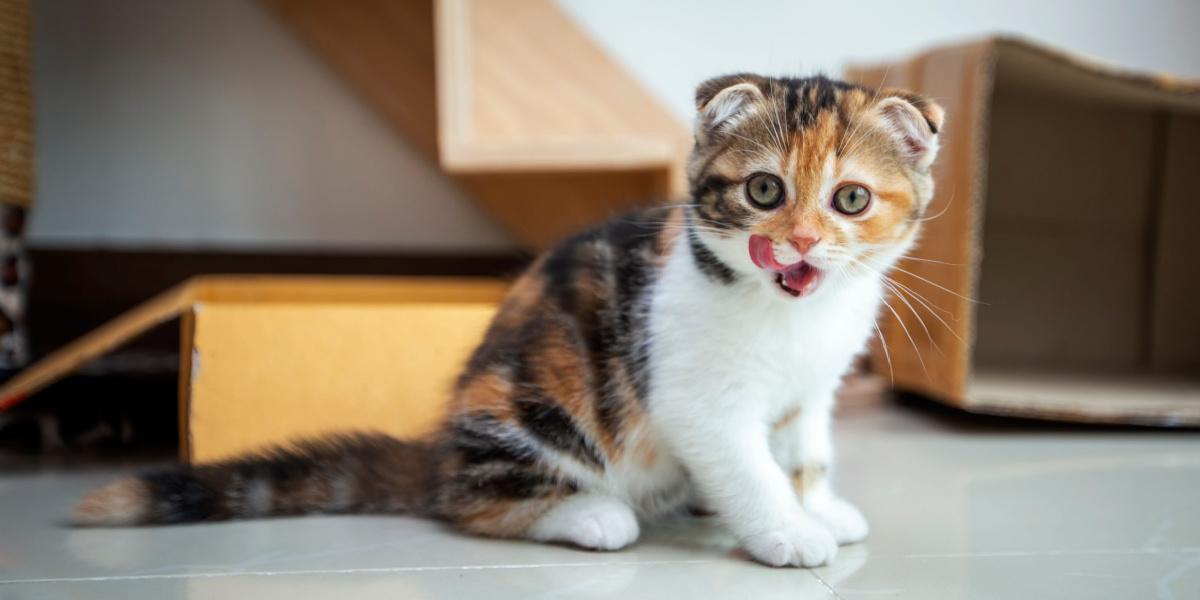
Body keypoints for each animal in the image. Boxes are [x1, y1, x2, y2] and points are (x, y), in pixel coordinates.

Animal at [70, 73, 940, 566]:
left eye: (850, 199)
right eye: (764, 191)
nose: (800, 242)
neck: (792, 314)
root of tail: (441, 450)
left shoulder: (809, 391)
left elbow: (805, 451)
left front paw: (818, 505)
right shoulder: (696, 396)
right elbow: (748, 465)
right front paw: (786, 532)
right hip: (533, 402)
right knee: (475, 502)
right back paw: (589, 515)